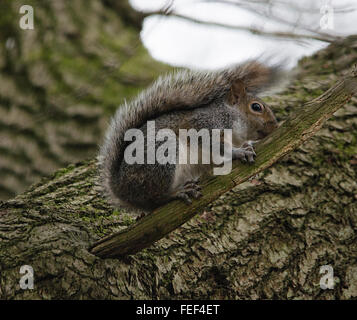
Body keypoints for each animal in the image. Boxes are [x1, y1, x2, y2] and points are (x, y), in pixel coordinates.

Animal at [98, 60, 282, 212]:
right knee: (156, 198)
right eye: (256, 107)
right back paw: (176, 192)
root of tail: (121, 188)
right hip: (161, 154)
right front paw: (240, 152)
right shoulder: (204, 125)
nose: (275, 125)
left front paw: (247, 147)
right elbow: (216, 146)